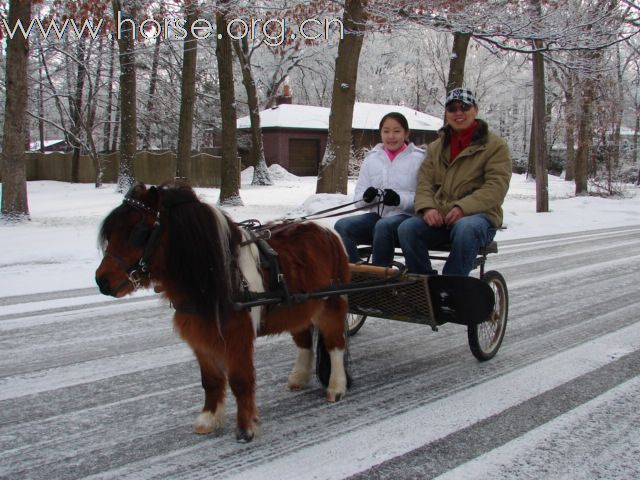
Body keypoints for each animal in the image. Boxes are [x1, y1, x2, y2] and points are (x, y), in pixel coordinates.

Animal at [95, 183, 350, 442]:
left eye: (139, 233)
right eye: (111, 232)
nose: (101, 281)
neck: (217, 275)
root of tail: (328, 231)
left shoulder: (238, 338)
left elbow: (240, 381)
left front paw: (246, 427)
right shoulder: (201, 338)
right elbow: (211, 381)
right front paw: (209, 419)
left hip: (332, 305)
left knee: (335, 345)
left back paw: (337, 387)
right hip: (299, 308)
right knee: (304, 341)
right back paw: (298, 377)